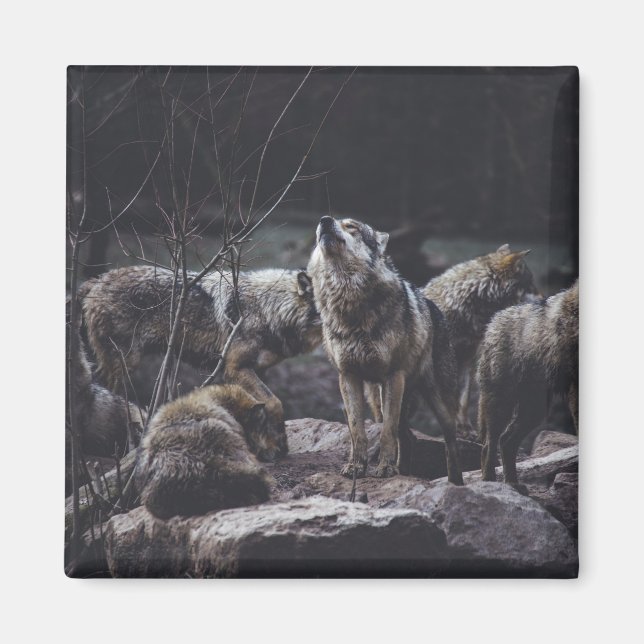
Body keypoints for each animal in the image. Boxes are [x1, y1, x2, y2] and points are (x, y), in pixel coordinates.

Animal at [79, 266, 322, 456]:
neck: (269, 308)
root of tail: (97, 280)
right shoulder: (236, 368)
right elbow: (275, 402)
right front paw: (280, 444)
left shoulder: (258, 370)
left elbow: (262, 408)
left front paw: (271, 445)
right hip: (125, 364)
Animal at [307, 216, 463, 483]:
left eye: (352, 226)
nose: (324, 220)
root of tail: (434, 308)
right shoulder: (347, 376)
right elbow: (357, 430)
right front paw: (356, 467)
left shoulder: (393, 376)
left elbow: (386, 433)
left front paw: (386, 469)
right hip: (380, 399)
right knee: (408, 437)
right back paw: (405, 471)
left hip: (438, 403)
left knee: (450, 442)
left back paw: (455, 483)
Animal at [478, 279, 578, 484]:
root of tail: (492, 321)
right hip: (502, 405)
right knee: (488, 445)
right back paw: (490, 482)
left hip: (534, 411)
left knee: (505, 441)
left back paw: (513, 484)